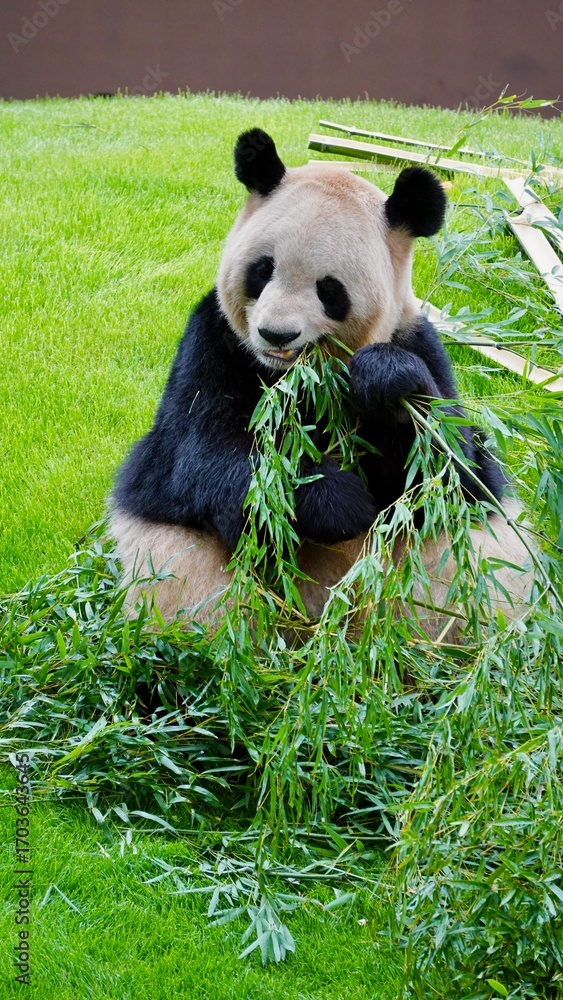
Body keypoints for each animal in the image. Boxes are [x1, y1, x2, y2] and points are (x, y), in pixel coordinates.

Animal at [109, 128, 534, 635]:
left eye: (329, 289)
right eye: (263, 269)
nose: (276, 334)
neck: (296, 376)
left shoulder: (418, 340)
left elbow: (448, 468)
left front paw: (385, 380)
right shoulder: (214, 342)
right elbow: (210, 455)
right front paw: (341, 502)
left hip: (449, 565)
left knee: (464, 572)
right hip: (179, 560)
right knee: (191, 592)